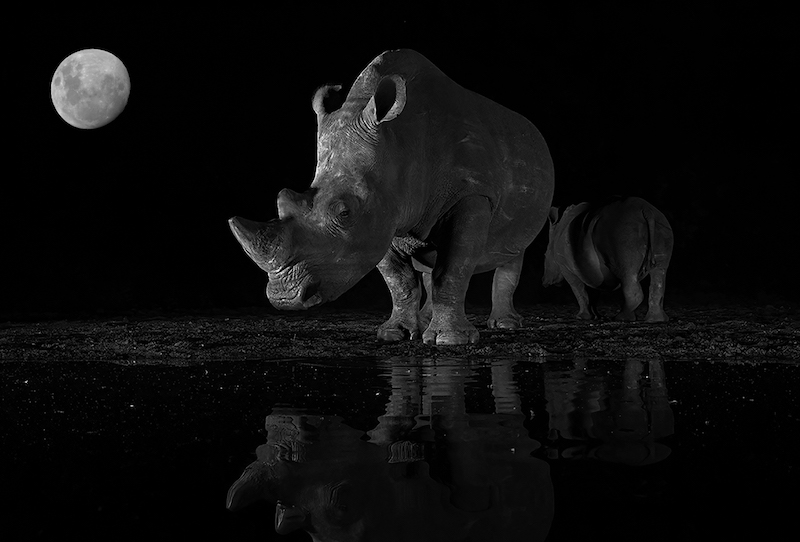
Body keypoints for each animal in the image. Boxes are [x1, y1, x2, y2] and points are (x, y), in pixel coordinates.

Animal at [229, 49, 554, 345]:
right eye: (282, 199)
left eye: (344, 213)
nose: (286, 298)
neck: (401, 144)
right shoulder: (384, 211)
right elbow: (400, 280)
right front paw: (394, 334)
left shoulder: (471, 194)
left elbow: (452, 269)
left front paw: (450, 341)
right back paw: (426, 320)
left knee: (512, 250)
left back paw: (506, 325)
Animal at [542, 196, 673, 322]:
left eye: (544, 255)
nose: (544, 281)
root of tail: (646, 210)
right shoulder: (589, 268)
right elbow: (593, 292)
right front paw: (596, 316)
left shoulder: (566, 267)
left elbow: (579, 290)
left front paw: (582, 317)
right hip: (661, 225)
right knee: (659, 271)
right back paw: (656, 320)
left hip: (622, 230)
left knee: (627, 273)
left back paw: (621, 318)